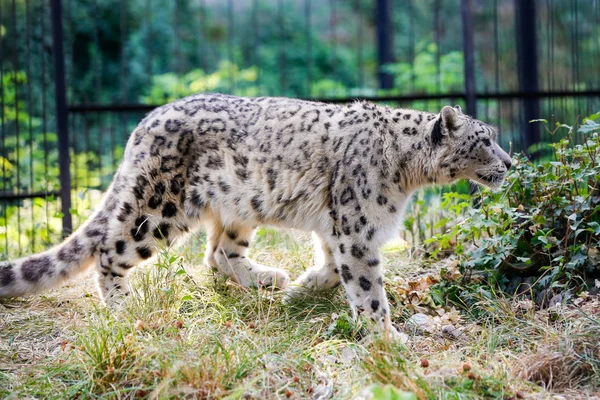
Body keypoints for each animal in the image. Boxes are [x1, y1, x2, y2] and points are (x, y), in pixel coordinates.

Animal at [0, 94, 510, 338]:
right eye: (485, 139)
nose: (509, 162)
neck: (408, 175)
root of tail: (142, 124)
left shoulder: (339, 228)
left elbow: (333, 267)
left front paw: (304, 287)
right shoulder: (357, 228)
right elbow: (367, 289)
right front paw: (387, 337)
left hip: (239, 206)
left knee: (218, 253)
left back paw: (270, 279)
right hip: (159, 208)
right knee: (111, 248)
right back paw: (123, 306)